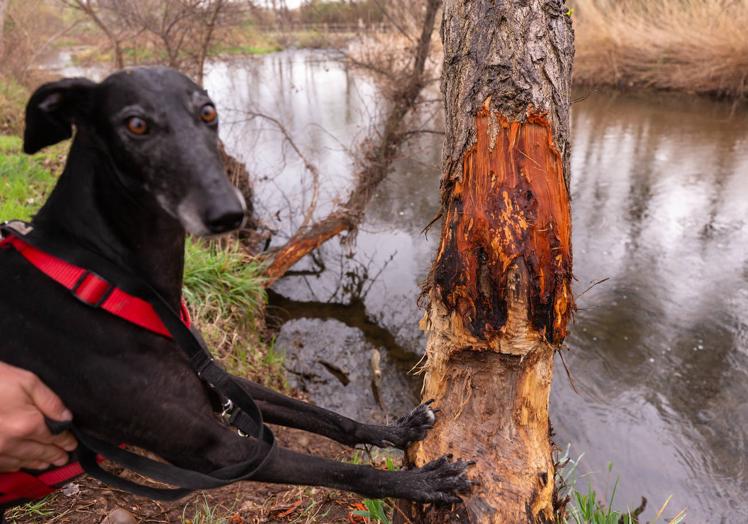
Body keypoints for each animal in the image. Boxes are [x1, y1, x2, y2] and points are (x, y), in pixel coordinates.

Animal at [0, 67, 468, 506]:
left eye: (208, 113)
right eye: (136, 124)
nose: (229, 213)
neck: (107, 276)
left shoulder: (221, 381)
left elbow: (326, 416)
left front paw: (397, 430)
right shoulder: (216, 449)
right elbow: (341, 471)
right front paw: (417, 483)